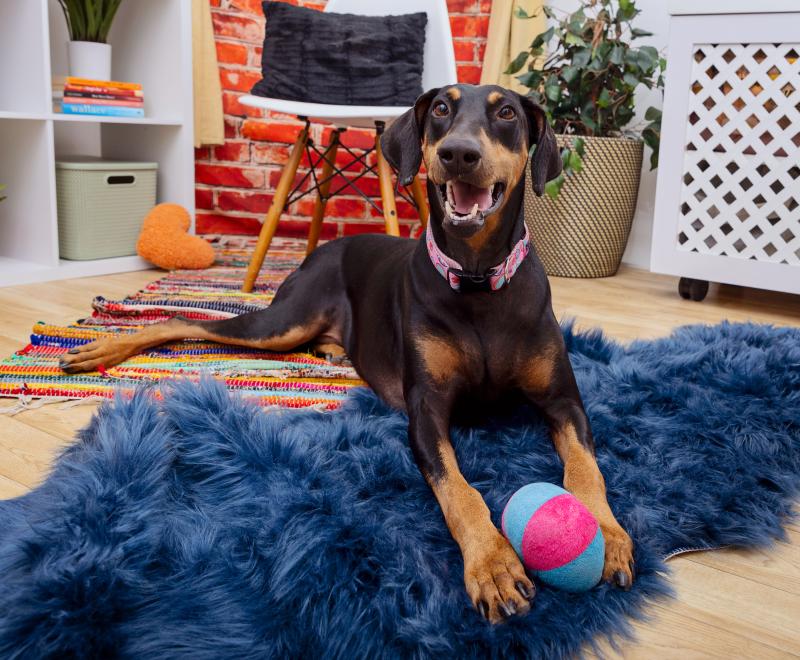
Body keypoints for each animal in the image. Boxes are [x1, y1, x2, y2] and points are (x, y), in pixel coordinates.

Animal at [61, 84, 632, 624]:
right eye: (441, 109)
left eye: (507, 113)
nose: (459, 153)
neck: (477, 279)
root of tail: (322, 248)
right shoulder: (426, 412)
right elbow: (459, 490)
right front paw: (492, 565)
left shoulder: (563, 400)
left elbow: (587, 468)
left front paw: (608, 534)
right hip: (281, 324)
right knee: (183, 319)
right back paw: (101, 348)